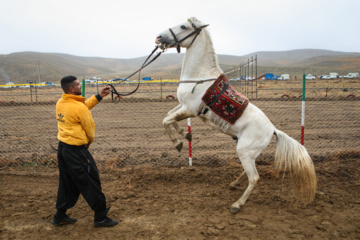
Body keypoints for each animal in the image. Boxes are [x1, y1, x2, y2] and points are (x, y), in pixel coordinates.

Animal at [155, 17, 316, 214]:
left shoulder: (190, 109)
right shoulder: (184, 106)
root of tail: (273, 130)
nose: (159, 37)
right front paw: (186, 135)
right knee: (249, 171)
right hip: (248, 151)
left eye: (183, 26)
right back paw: (233, 184)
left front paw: (178, 143)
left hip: (245, 151)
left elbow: (165, 120)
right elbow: (169, 116)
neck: (199, 77)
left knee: (254, 178)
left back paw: (237, 205)